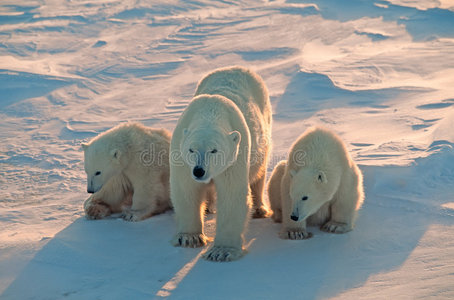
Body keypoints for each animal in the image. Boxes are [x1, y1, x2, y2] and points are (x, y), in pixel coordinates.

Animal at [169, 66, 270, 262]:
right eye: (191, 150)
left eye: (214, 150)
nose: (199, 171)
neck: (211, 110)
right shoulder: (181, 153)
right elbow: (186, 189)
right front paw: (189, 238)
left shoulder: (235, 155)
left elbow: (232, 194)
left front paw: (222, 251)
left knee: (259, 171)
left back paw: (259, 208)